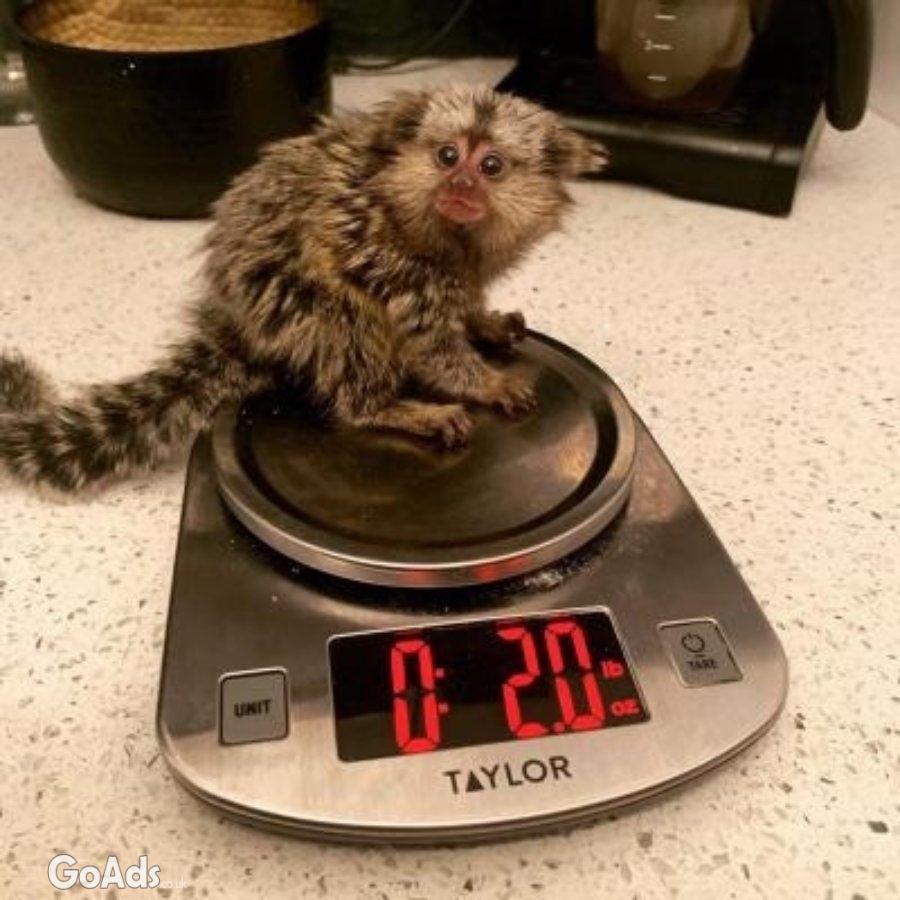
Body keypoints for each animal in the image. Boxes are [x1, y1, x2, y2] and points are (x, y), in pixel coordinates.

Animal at [0, 85, 607, 493]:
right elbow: (430, 343)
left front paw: (484, 323)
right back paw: (395, 410)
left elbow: (467, 305)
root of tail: (236, 324)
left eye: (492, 166)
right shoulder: (387, 256)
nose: (459, 184)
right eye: (448, 156)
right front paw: (485, 383)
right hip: (299, 305)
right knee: (346, 332)